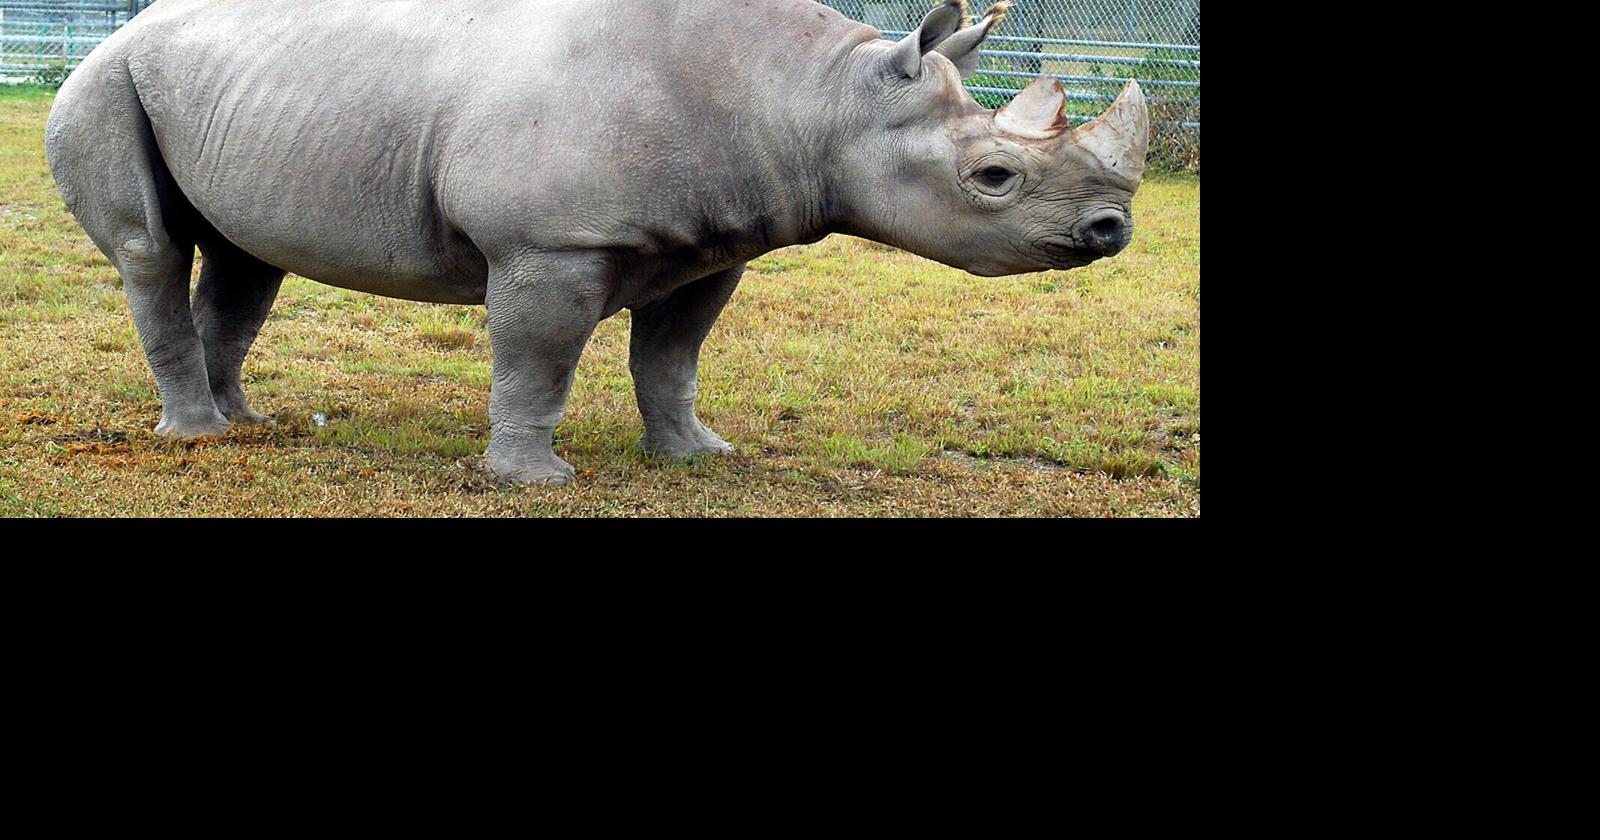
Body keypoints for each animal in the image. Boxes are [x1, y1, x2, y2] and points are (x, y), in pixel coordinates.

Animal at [45, 0, 1149, 484]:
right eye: (992, 179)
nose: (1111, 230)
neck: (817, 99)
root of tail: (124, 22)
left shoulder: (716, 241)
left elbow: (673, 357)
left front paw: (698, 456)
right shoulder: (550, 244)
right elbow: (538, 360)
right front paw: (530, 481)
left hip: (235, 91)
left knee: (246, 259)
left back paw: (248, 425)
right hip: (102, 79)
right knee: (150, 251)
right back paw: (198, 438)